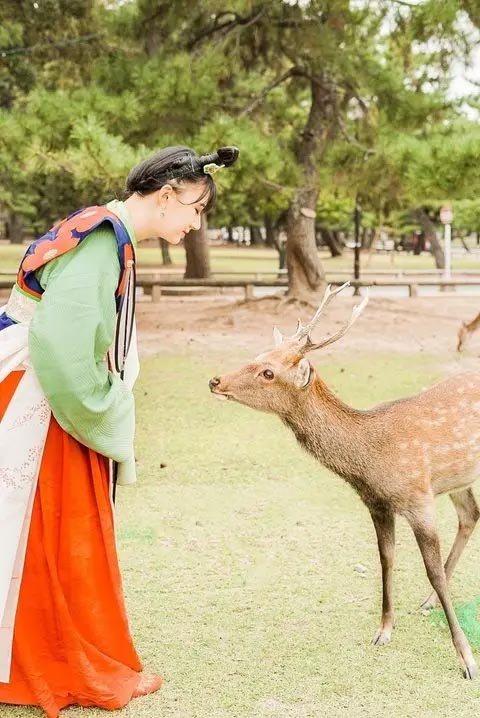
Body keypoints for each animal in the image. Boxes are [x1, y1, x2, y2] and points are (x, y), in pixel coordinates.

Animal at [209, 282, 480, 680]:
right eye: (256, 355)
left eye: (268, 372)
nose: (215, 380)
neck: (370, 461)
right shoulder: (377, 504)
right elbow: (386, 560)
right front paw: (384, 630)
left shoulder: (418, 497)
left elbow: (432, 572)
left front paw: (467, 659)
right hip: (458, 479)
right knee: (470, 515)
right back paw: (427, 602)